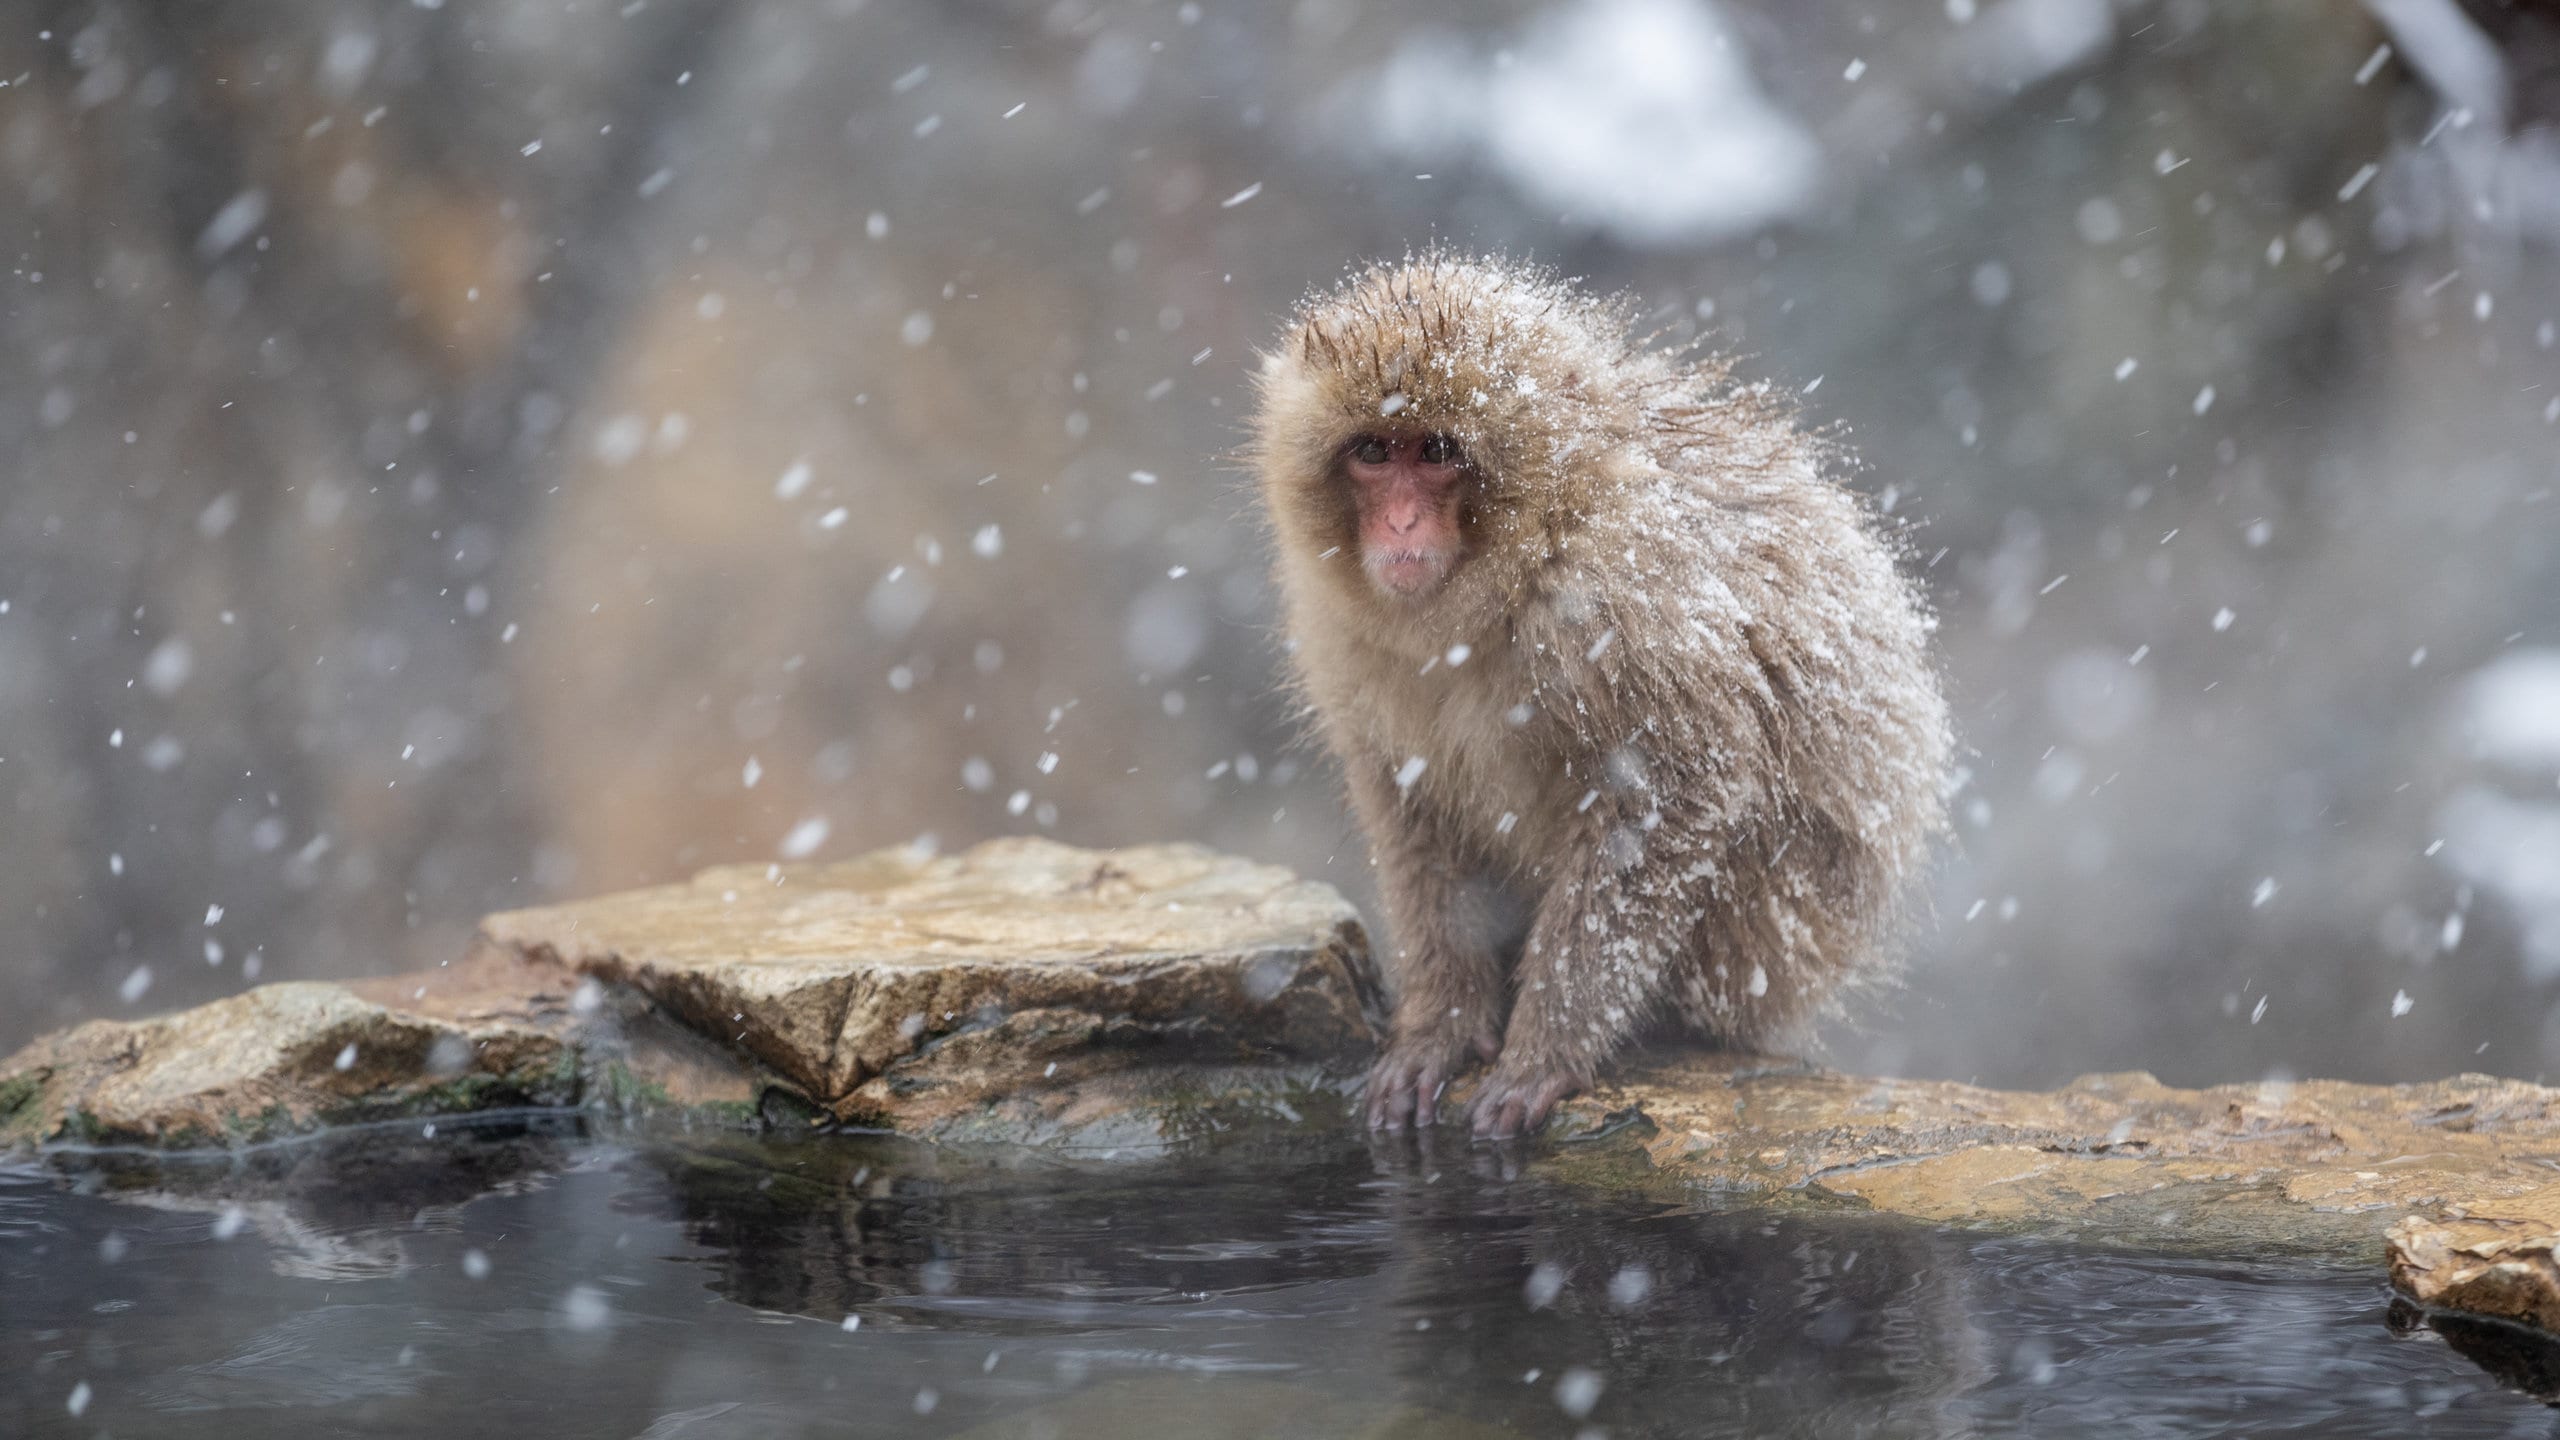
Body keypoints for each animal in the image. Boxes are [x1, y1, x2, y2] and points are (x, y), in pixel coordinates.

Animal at [1248, 254, 1951, 1139]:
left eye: (1436, 449)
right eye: (1373, 451)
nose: (1401, 524)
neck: (1519, 561)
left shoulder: (1624, 593)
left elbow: (1675, 793)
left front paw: (1544, 1050)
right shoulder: (1341, 633)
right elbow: (1413, 810)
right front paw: (1441, 1025)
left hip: (1777, 939)